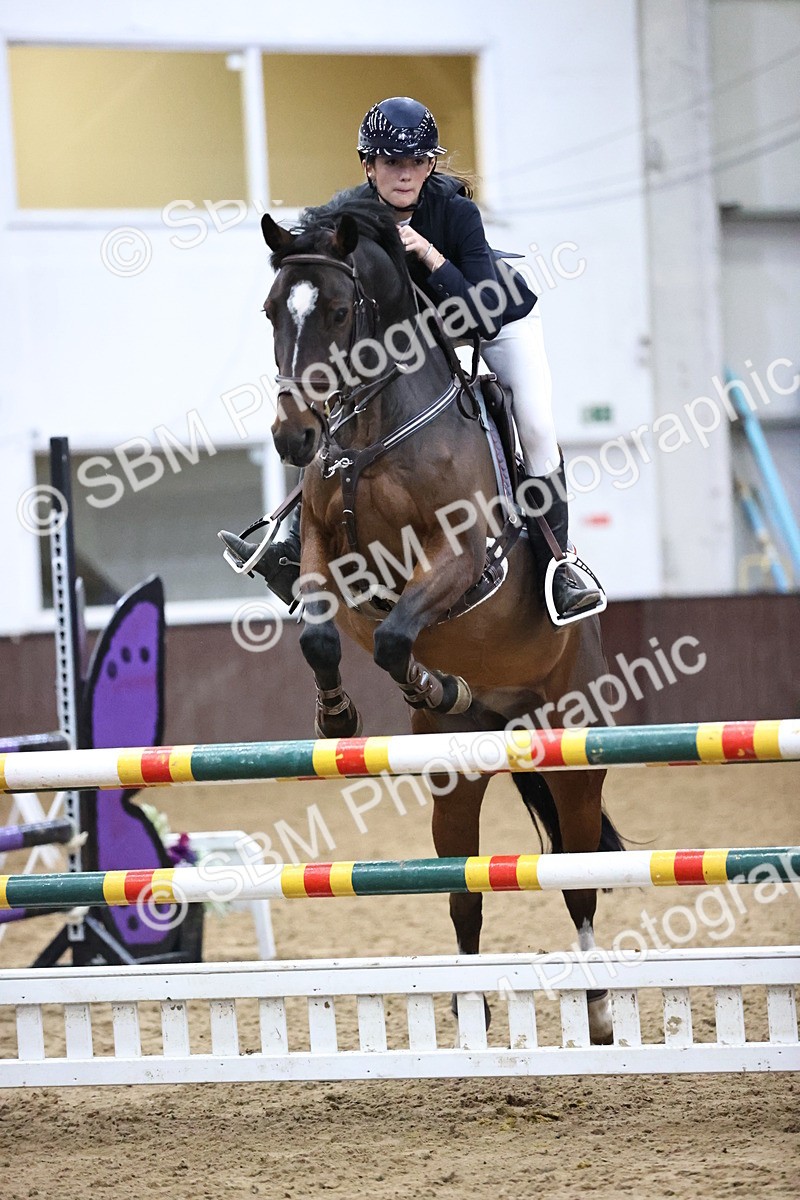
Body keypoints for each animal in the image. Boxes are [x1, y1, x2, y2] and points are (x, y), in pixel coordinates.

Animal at [232, 196, 622, 1042]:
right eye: (271, 310)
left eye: (339, 311)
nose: (293, 436)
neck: (372, 431)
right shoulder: (324, 549)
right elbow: (322, 632)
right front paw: (339, 716)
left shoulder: (460, 559)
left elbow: (393, 633)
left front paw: (431, 681)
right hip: (454, 778)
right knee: (463, 892)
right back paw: (469, 1011)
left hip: (572, 747)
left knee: (580, 878)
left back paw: (600, 1009)